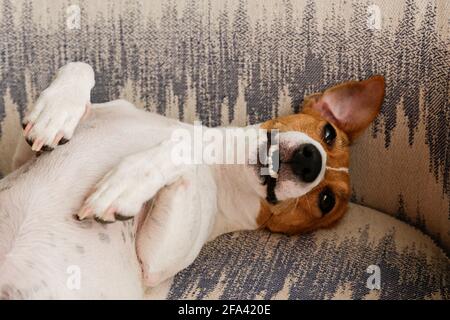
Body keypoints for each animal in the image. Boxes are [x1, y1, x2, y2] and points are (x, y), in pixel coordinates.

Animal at [0, 63, 384, 300]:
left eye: (326, 201)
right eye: (328, 132)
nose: (311, 161)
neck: (223, 164)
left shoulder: (153, 263)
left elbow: (179, 153)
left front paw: (126, 181)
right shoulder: (18, 159)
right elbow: (79, 66)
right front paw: (54, 112)